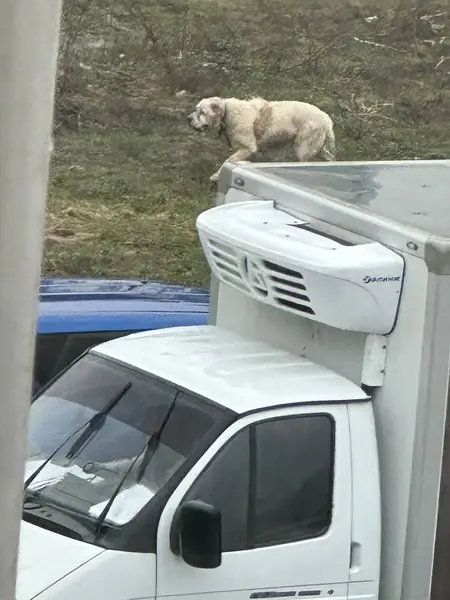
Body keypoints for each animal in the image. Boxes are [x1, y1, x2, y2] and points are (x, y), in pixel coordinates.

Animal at [187, 96, 336, 182]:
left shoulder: (248, 148)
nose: (188, 119)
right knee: (331, 159)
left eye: (202, 112)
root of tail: (327, 120)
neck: (226, 114)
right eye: (196, 110)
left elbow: (227, 161)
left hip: (303, 148)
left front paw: (216, 176)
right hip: (318, 148)